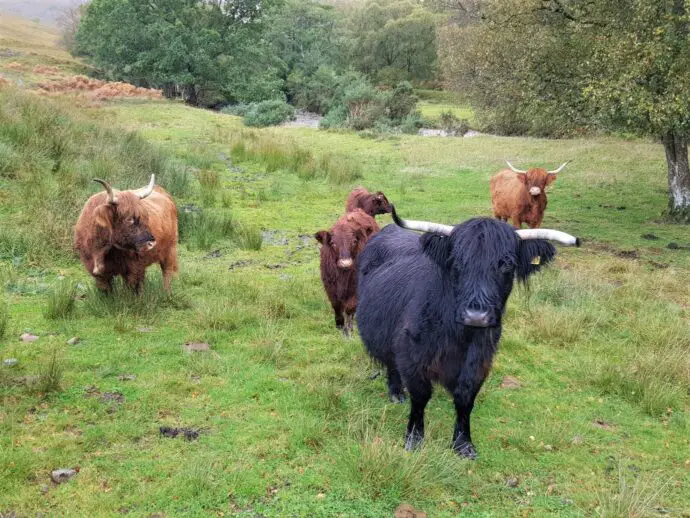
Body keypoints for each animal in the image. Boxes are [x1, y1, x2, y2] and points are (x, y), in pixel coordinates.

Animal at [314, 209, 378, 340]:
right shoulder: (330, 287)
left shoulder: (356, 290)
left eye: (354, 242)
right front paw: (339, 326)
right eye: (333, 243)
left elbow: (349, 309)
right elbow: (337, 307)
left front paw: (348, 332)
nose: (345, 263)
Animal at [354, 207, 576, 460]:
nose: (475, 315)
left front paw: (463, 444)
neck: (459, 337)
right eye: (457, 262)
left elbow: (465, 399)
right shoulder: (412, 356)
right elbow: (420, 398)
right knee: (390, 363)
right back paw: (396, 393)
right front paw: (413, 439)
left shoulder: (480, 361)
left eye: (506, 264)